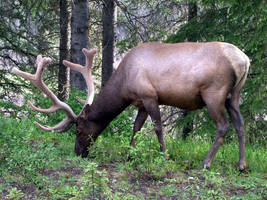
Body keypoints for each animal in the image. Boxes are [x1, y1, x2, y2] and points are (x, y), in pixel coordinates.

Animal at [12, 42, 251, 170]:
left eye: (78, 130)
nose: (78, 152)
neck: (124, 84)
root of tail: (244, 60)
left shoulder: (150, 95)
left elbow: (158, 128)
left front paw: (164, 157)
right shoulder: (141, 103)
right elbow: (136, 127)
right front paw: (130, 154)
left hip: (214, 93)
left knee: (223, 126)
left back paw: (205, 164)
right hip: (234, 95)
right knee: (240, 124)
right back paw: (241, 164)